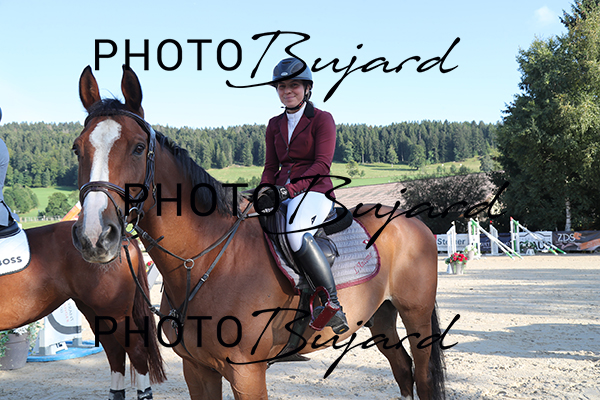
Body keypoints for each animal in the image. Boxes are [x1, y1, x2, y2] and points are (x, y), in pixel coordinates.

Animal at [71, 64, 446, 400]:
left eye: (137, 147)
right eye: (77, 148)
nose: (94, 236)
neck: (203, 260)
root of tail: (411, 220)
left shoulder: (246, 373)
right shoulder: (197, 370)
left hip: (415, 317)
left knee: (423, 376)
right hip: (380, 317)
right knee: (403, 371)